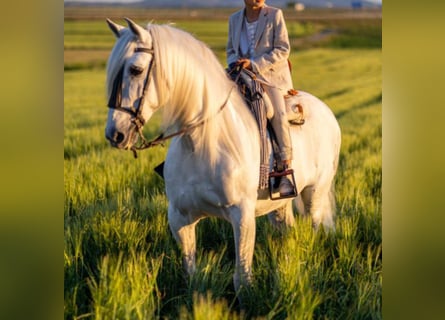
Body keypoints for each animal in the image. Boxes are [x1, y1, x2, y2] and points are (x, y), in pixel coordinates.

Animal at [104, 17, 340, 292]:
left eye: (136, 70)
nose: (115, 134)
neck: (204, 143)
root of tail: (324, 109)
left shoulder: (242, 216)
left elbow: (242, 278)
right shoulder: (179, 217)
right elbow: (191, 274)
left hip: (315, 193)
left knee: (315, 225)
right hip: (280, 202)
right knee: (286, 230)